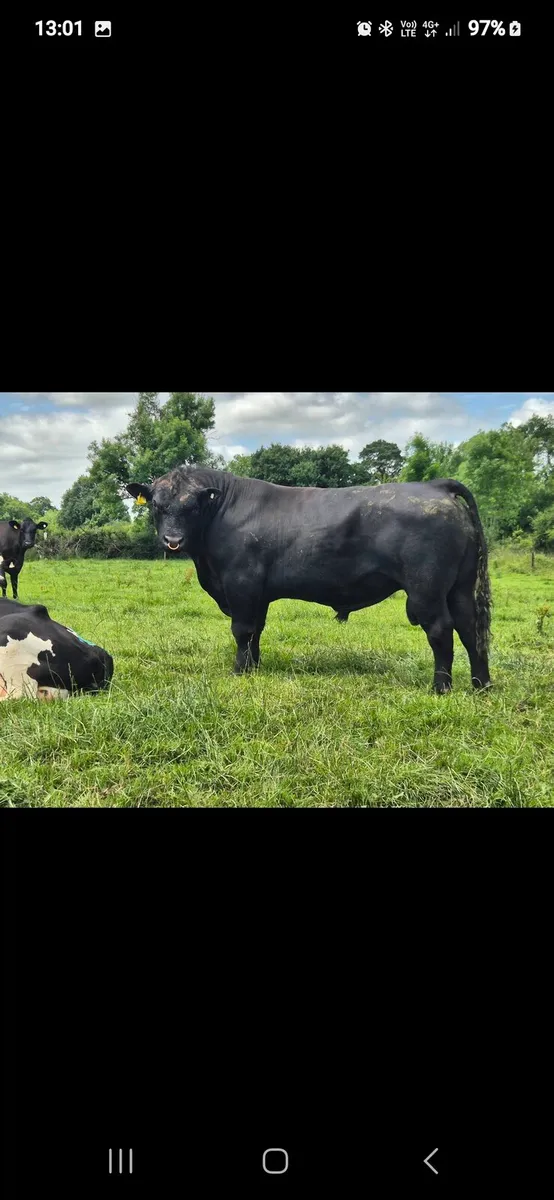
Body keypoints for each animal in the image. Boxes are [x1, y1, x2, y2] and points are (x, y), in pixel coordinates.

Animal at [126, 468, 492, 693]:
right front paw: (253, 667)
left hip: (426, 588)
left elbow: (242, 630)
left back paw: (441, 688)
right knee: (470, 628)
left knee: (441, 630)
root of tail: (433, 485)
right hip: (459, 586)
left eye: (192, 506)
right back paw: (481, 685)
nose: (172, 541)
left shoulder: (241, 583)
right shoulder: (259, 593)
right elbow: (256, 631)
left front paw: (238, 672)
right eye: (157, 505)